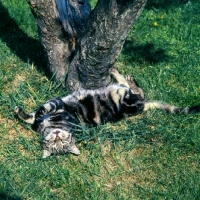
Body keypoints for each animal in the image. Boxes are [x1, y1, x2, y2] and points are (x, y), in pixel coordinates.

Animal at [14, 69, 200, 159]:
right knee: (135, 90)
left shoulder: (57, 103)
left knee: (138, 91)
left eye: (63, 142)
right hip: (127, 97)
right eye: (55, 145)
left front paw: (31, 115)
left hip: (127, 98)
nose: (58, 136)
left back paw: (120, 74)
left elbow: (40, 111)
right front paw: (26, 116)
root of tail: (142, 107)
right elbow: (32, 118)